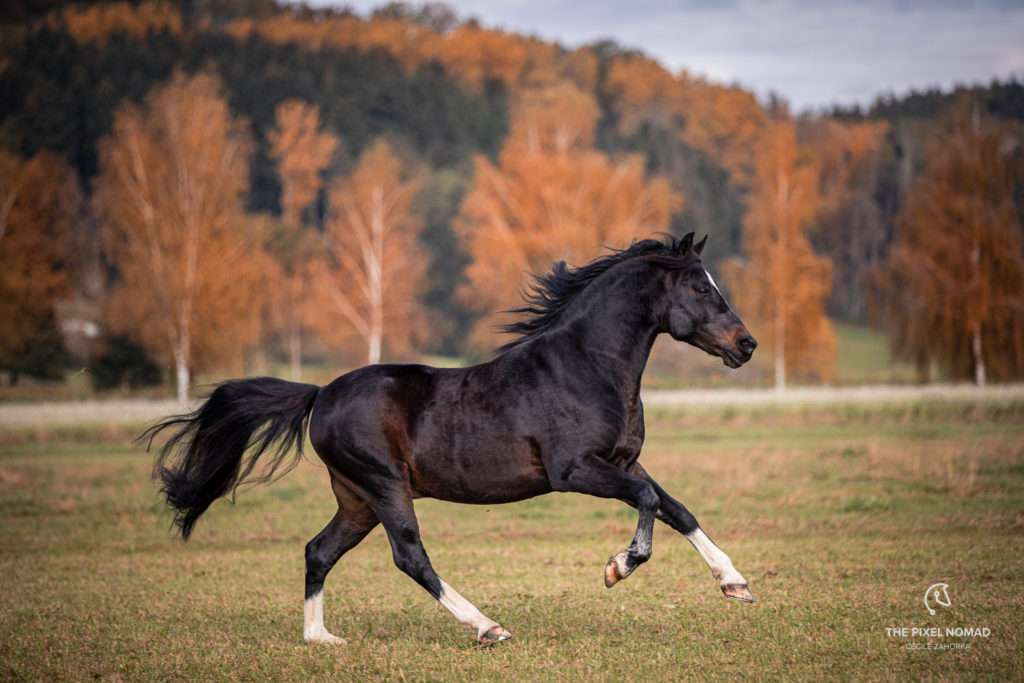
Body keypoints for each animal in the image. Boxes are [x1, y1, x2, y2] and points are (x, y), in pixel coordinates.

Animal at [149, 232, 761, 643]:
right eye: (699, 287)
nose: (747, 345)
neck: (587, 366)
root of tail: (321, 393)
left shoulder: (624, 461)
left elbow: (676, 508)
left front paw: (735, 584)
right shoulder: (577, 471)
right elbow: (650, 502)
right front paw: (618, 566)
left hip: (357, 499)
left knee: (318, 551)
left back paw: (321, 638)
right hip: (385, 488)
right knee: (409, 556)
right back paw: (487, 626)